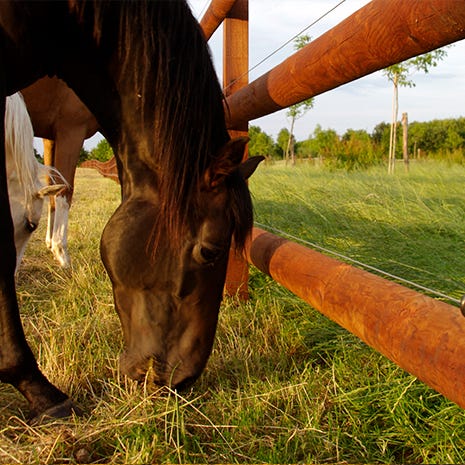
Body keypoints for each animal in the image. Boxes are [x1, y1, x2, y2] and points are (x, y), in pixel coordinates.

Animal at [21, 77, 99, 268]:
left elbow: (52, 187)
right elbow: (65, 190)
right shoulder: (71, 130)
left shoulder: (50, 138)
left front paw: (50, 243)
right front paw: (61, 253)